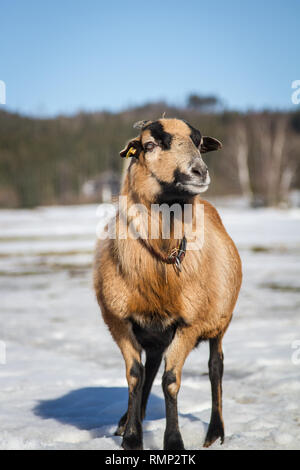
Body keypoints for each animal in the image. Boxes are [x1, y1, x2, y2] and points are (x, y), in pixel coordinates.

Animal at [94, 116, 241, 448]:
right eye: (148, 145)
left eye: (199, 143)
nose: (199, 171)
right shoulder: (119, 321)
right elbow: (135, 375)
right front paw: (132, 436)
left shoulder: (189, 325)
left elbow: (171, 381)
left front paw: (173, 441)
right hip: (155, 333)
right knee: (149, 369)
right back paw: (128, 419)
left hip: (219, 322)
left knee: (216, 367)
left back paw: (215, 432)